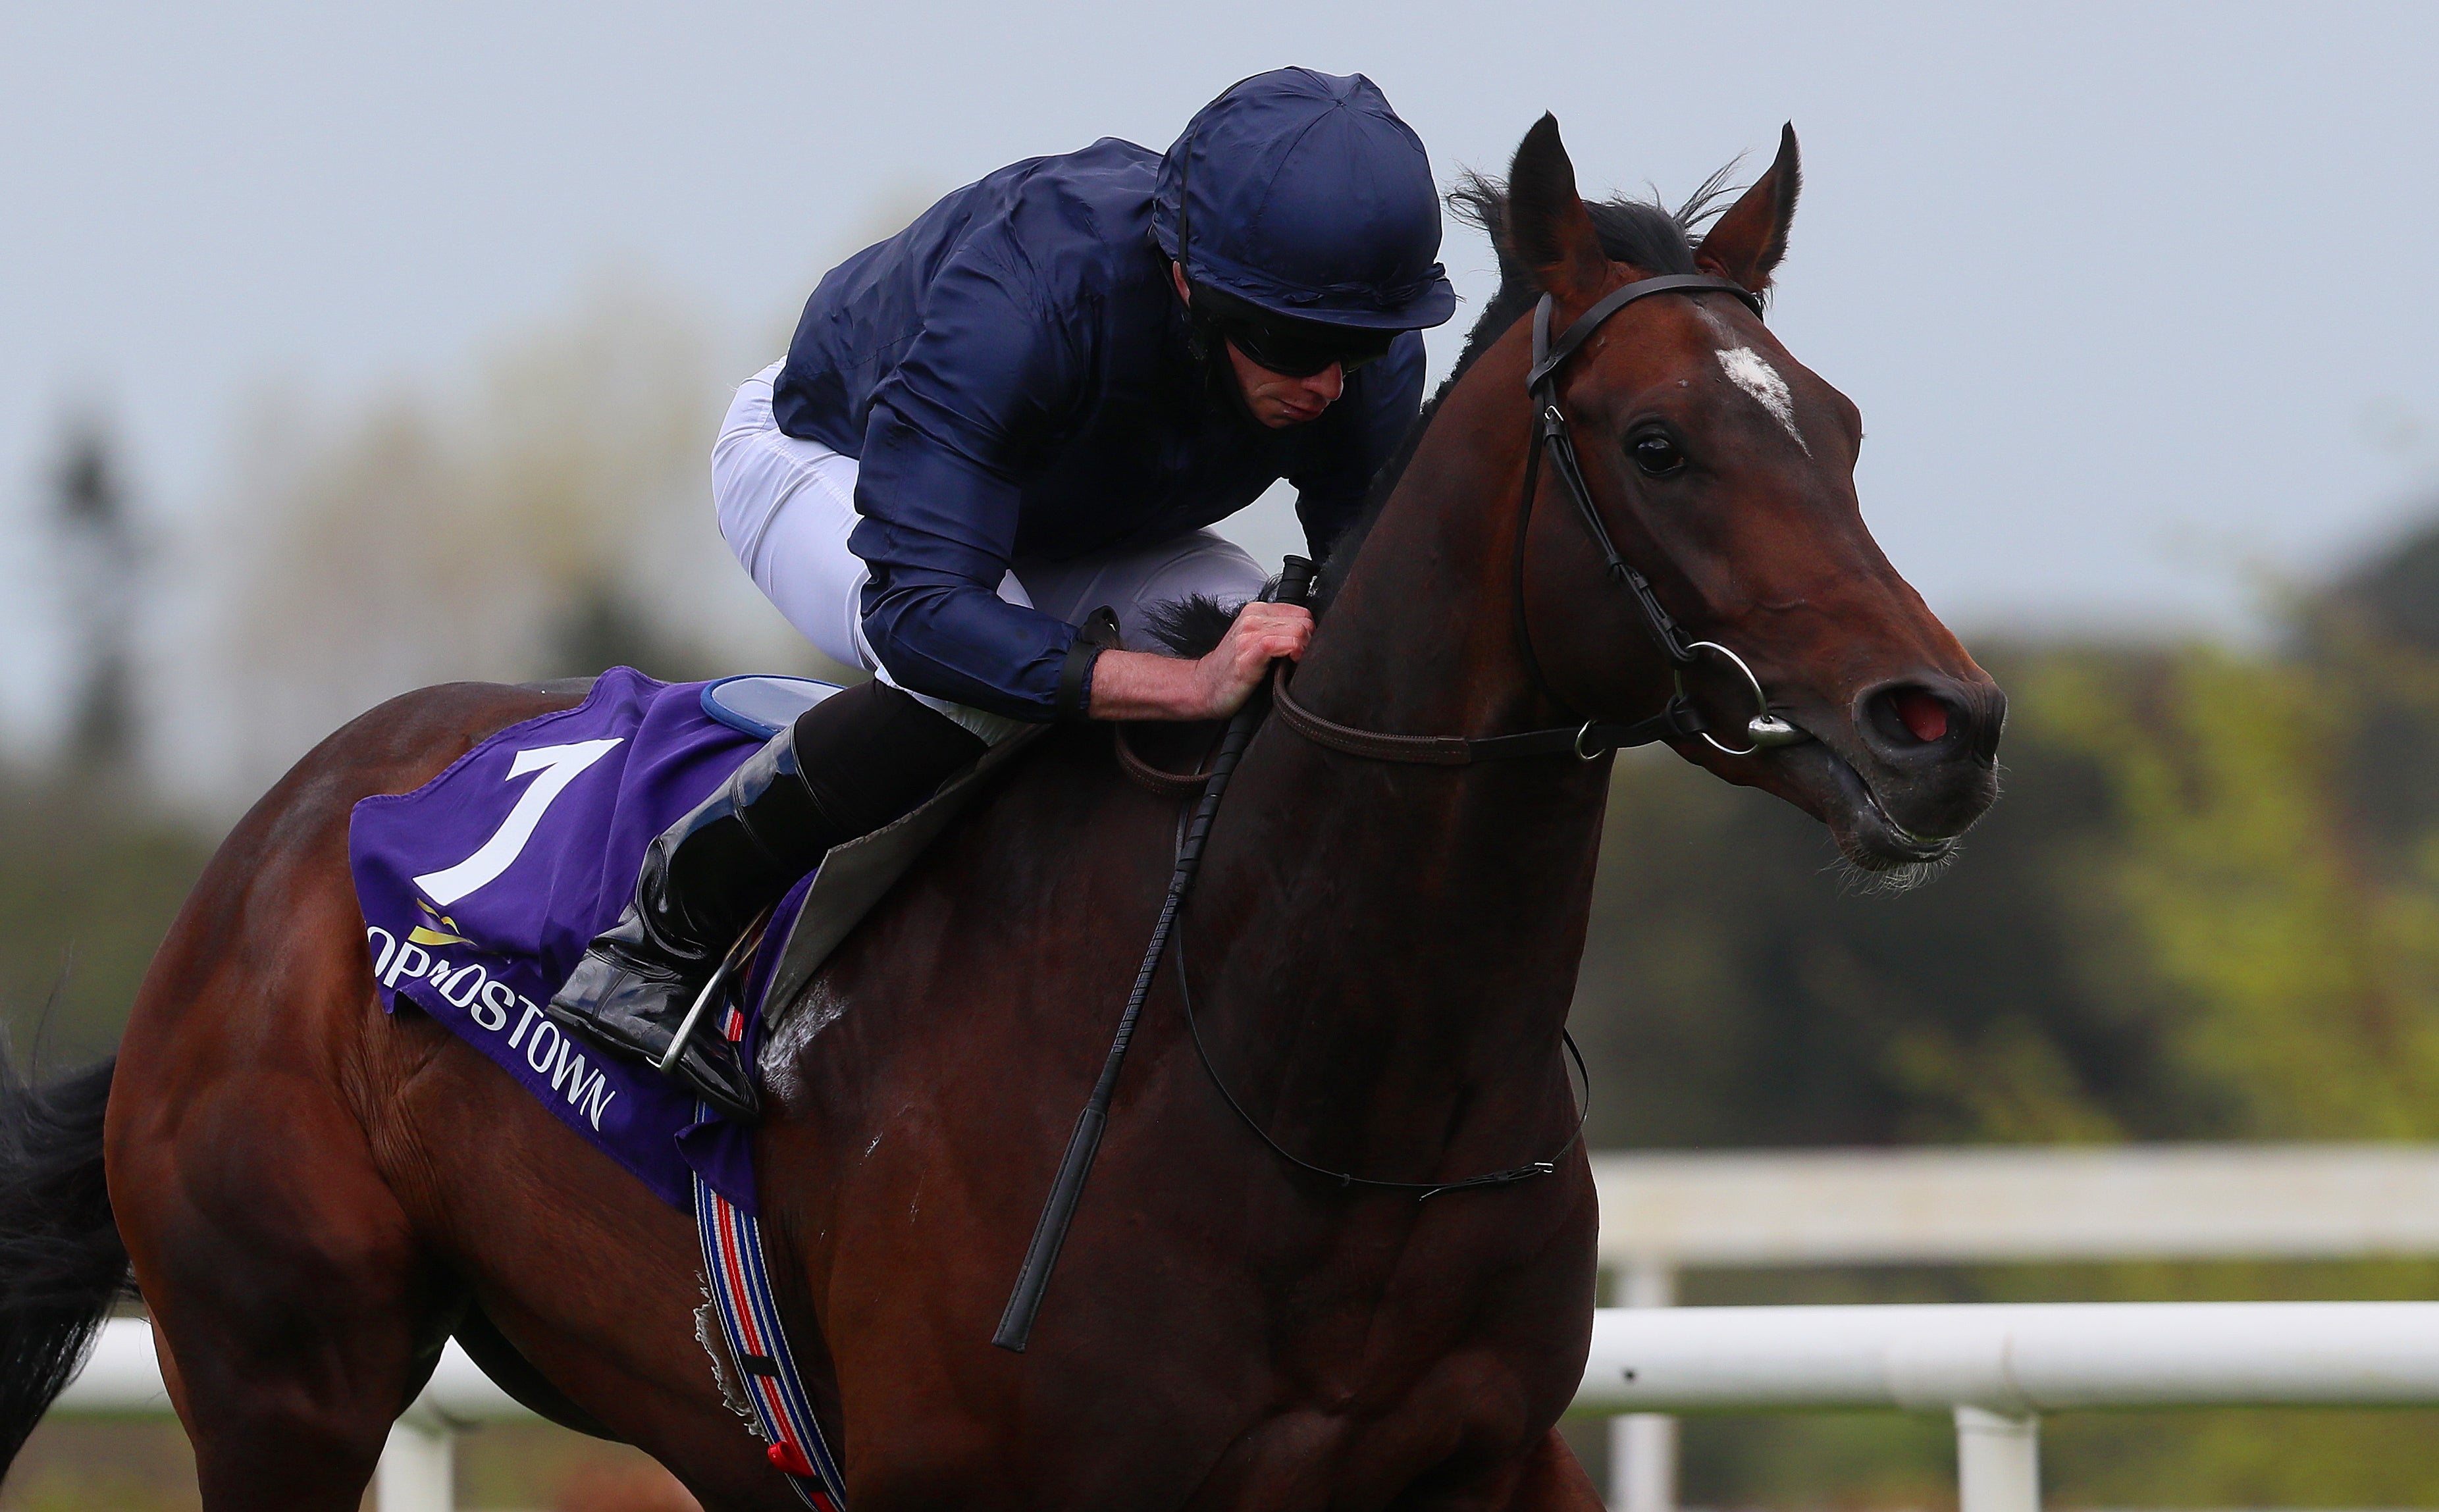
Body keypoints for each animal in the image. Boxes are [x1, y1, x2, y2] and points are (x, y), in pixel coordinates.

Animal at [0, 121, 2000, 1512]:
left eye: (1840, 429)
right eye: (1659, 446)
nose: (1943, 724)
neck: (1302, 1071)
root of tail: (270, 838)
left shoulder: (1493, 1460)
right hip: (286, 1366)